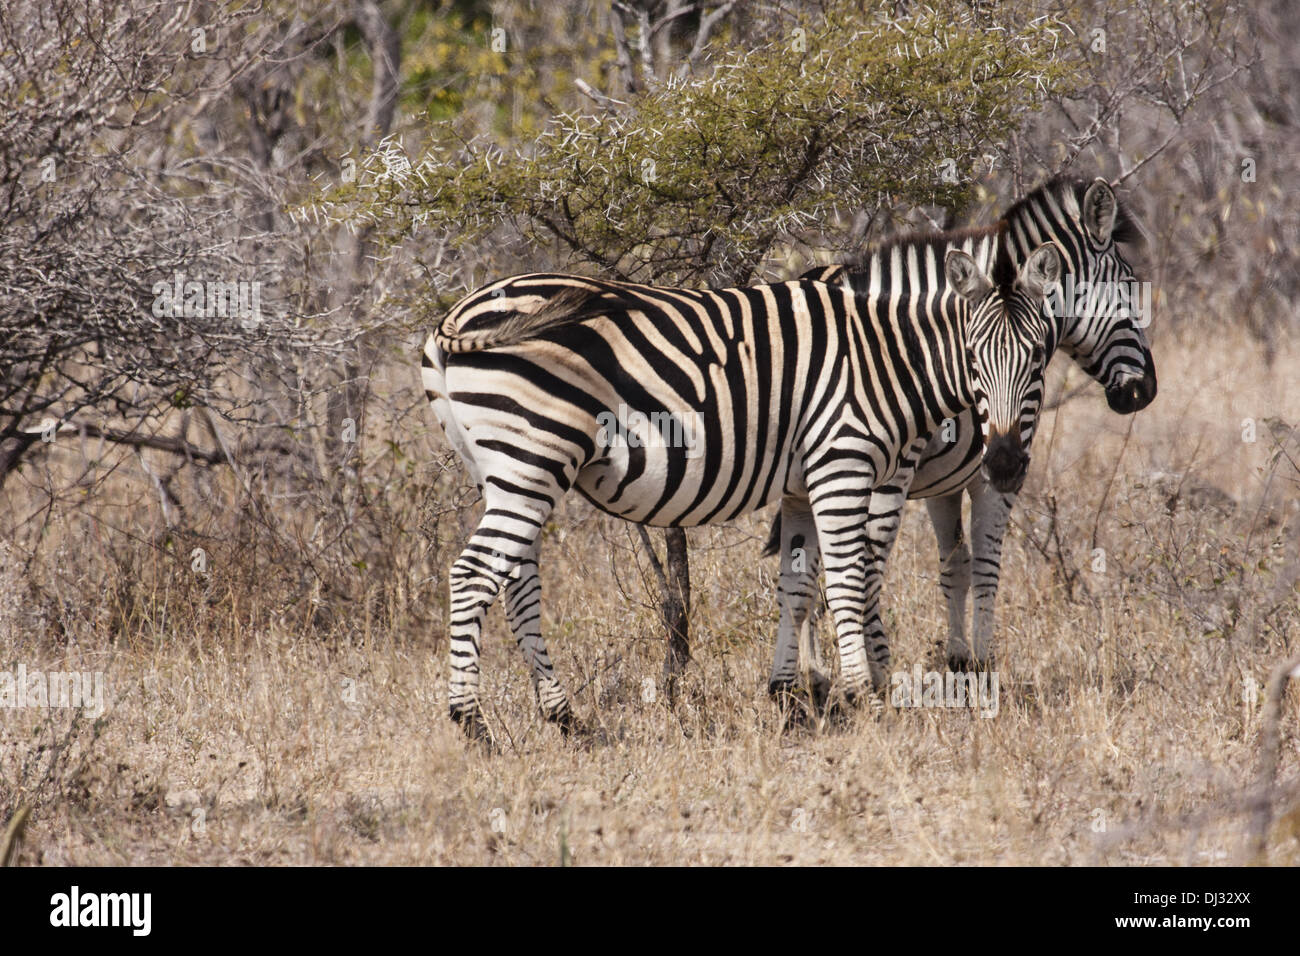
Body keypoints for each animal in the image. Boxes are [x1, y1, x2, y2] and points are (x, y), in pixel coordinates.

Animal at [421, 239, 1062, 741]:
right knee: (474, 575)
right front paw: (864, 698)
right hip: (533, 456)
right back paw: (473, 725)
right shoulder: (843, 464)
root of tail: (457, 315)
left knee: (516, 580)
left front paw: (789, 698)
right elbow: (848, 584)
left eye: (1039, 357)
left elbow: (796, 587)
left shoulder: (801, 486)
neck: (883, 354)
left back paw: (564, 718)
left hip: (505, 470)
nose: (1005, 465)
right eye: (975, 356)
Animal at [763, 176, 1157, 702]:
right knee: (858, 567)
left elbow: (956, 566)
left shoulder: (945, 483)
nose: (1144, 391)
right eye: (1129, 286)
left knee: (814, 568)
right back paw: (866, 671)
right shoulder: (994, 473)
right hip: (877, 475)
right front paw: (983, 665)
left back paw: (817, 671)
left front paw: (958, 659)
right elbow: (986, 565)